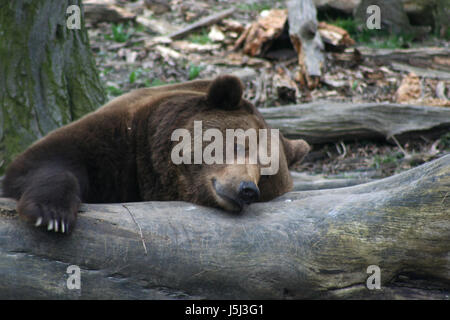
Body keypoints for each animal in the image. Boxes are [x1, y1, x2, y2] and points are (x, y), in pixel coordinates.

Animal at [1, 76, 310, 234]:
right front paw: (51, 213)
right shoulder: (115, 141)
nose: (247, 189)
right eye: (239, 145)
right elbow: (45, 161)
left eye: (266, 172)